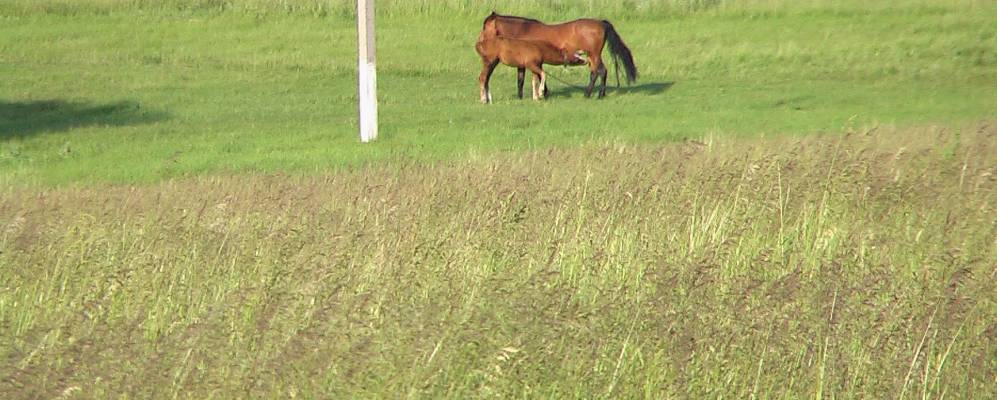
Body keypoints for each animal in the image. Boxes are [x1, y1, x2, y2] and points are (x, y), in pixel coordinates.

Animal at [476, 11, 636, 99]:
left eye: (484, 26)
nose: (479, 43)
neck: (524, 31)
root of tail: (601, 23)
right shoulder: (523, 62)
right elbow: (521, 80)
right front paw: (522, 97)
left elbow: (538, 77)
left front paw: (543, 93)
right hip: (592, 56)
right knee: (598, 72)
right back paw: (596, 94)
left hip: (594, 54)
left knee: (599, 71)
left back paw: (593, 95)